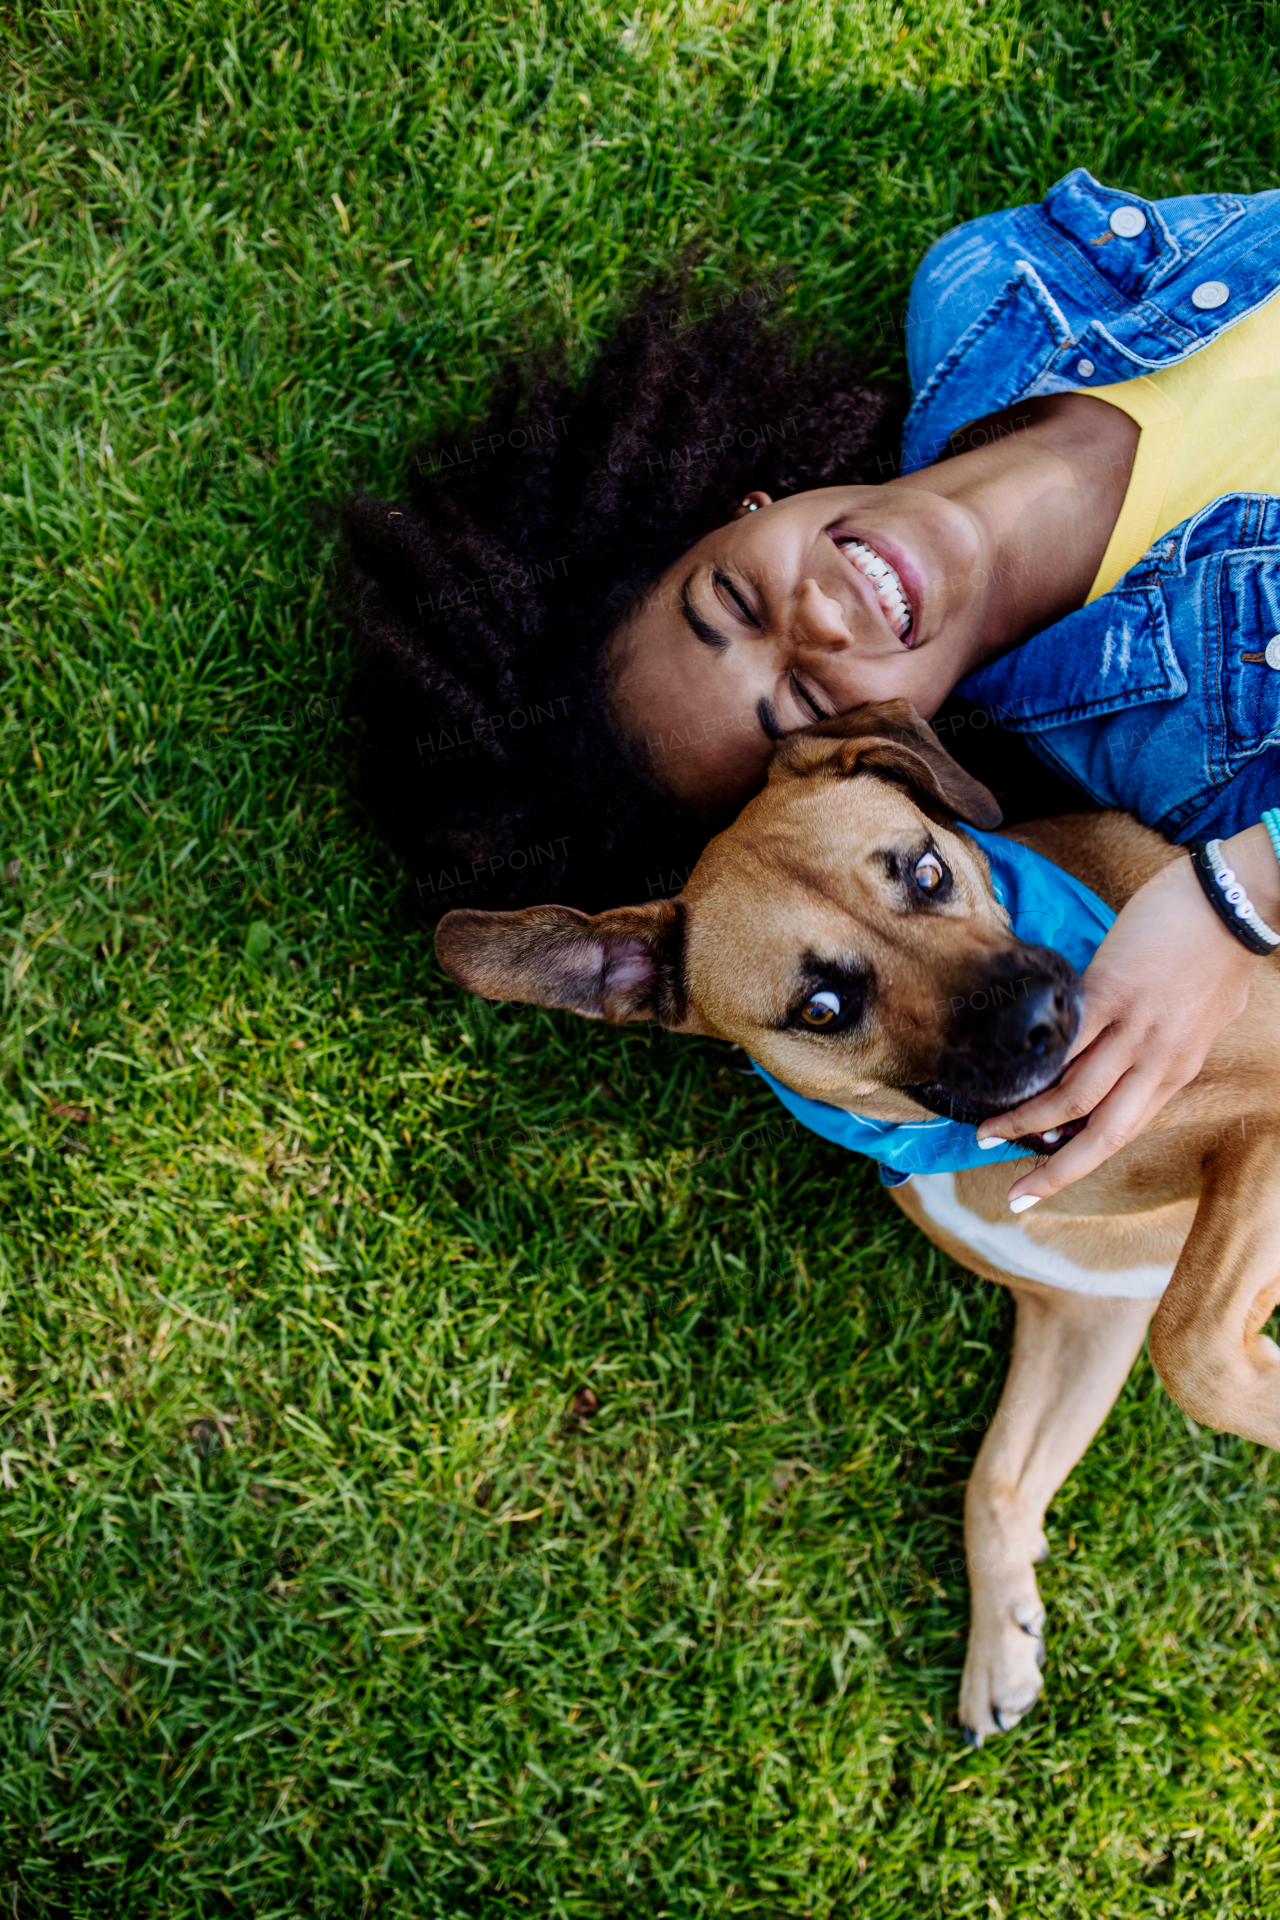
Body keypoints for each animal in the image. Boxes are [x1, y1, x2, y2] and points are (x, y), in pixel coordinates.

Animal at [437, 702, 1280, 1743]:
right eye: (822, 1008)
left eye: (926, 871)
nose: (1044, 1017)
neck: (993, 1139)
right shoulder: (1085, 1314)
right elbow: (999, 1477)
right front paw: (1000, 1641)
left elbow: (1193, 1344)